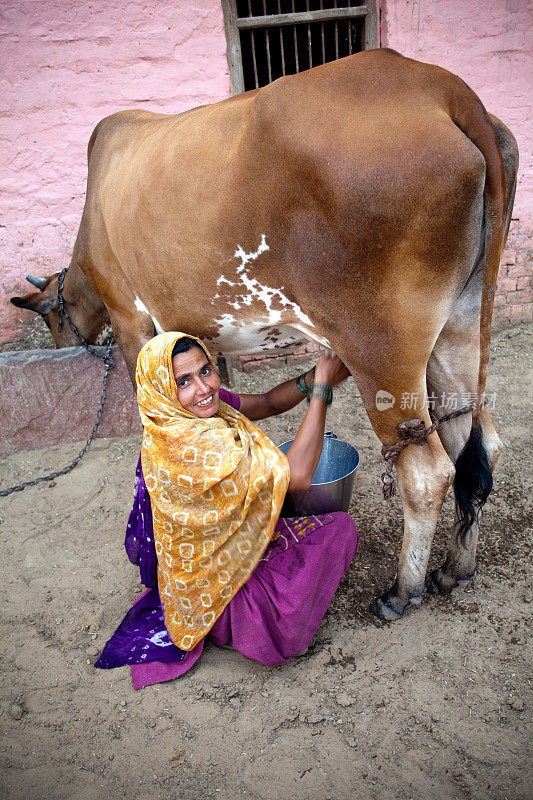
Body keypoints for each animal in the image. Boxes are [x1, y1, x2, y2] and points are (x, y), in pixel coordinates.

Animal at [11, 51, 516, 620]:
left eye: (52, 318)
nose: (61, 343)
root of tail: (441, 85)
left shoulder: (130, 320)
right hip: (457, 332)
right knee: (477, 442)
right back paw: (455, 568)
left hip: (381, 350)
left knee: (427, 471)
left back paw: (402, 590)